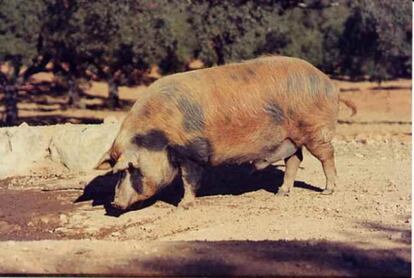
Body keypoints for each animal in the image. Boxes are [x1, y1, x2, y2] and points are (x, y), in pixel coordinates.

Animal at [95, 55, 350, 210]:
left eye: (130, 169)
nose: (114, 204)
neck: (161, 136)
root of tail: (329, 83)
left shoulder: (192, 153)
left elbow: (189, 180)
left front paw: (183, 206)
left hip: (315, 131)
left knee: (327, 156)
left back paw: (327, 192)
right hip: (290, 139)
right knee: (295, 160)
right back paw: (281, 193)